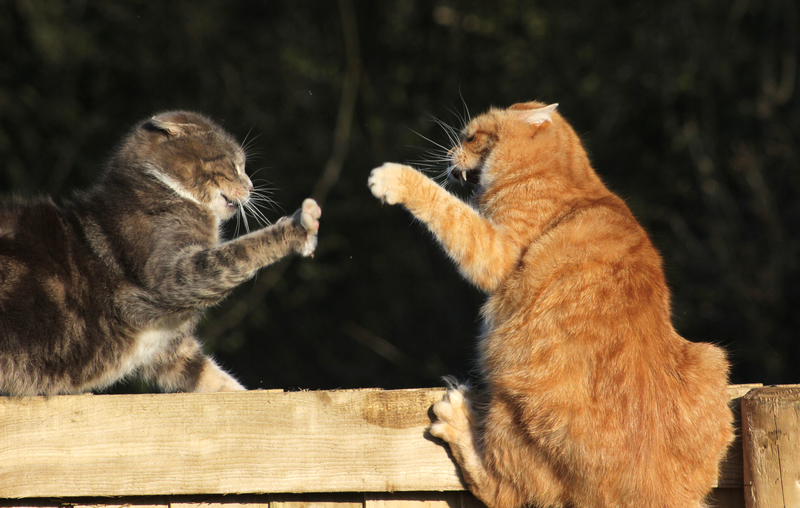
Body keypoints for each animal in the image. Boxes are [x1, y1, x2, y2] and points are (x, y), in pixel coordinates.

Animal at [0, 111, 318, 396]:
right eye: (234, 165)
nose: (251, 187)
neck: (164, 188)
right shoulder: (174, 276)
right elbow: (238, 253)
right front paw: (298, 227)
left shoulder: (166, 347)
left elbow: (207, 376)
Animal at [368, 102, 732, 508]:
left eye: (471, 137)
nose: (450, 156)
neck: (569, 176)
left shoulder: (497, 251)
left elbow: (448, 209)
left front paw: (394, 178)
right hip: (712, 360)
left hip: (507, 403)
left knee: (500, 488)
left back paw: (457, 419)